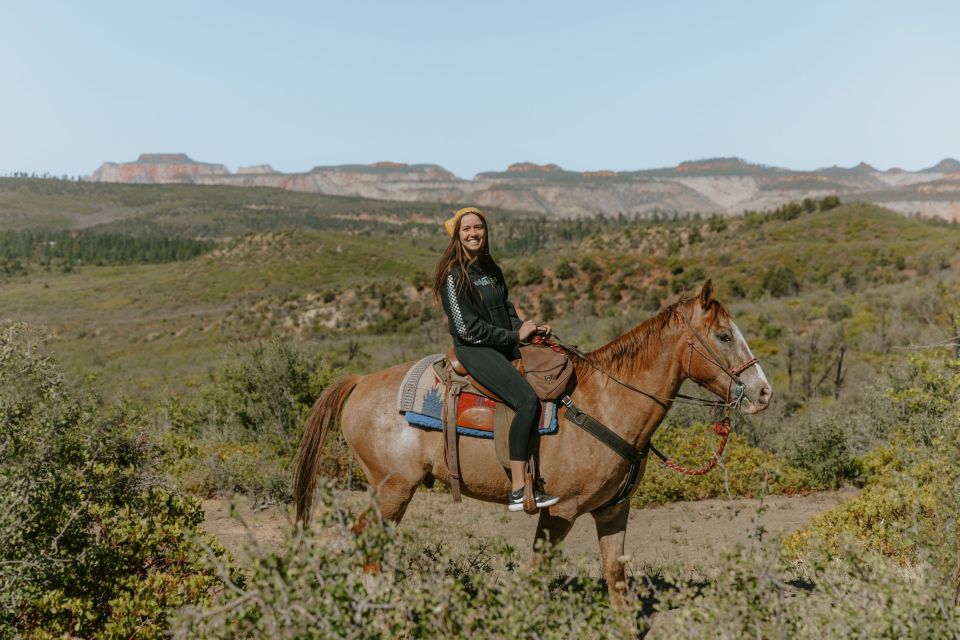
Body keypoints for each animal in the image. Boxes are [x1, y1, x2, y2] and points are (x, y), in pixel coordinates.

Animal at [292, 282, 772, 604]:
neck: (607, 402)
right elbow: (539, 575)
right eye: (724, 336)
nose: (763, 392)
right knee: (364, 545)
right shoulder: (560, 511)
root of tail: (359, 381)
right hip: (391, 487)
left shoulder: (613, 510)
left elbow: (615, 580)